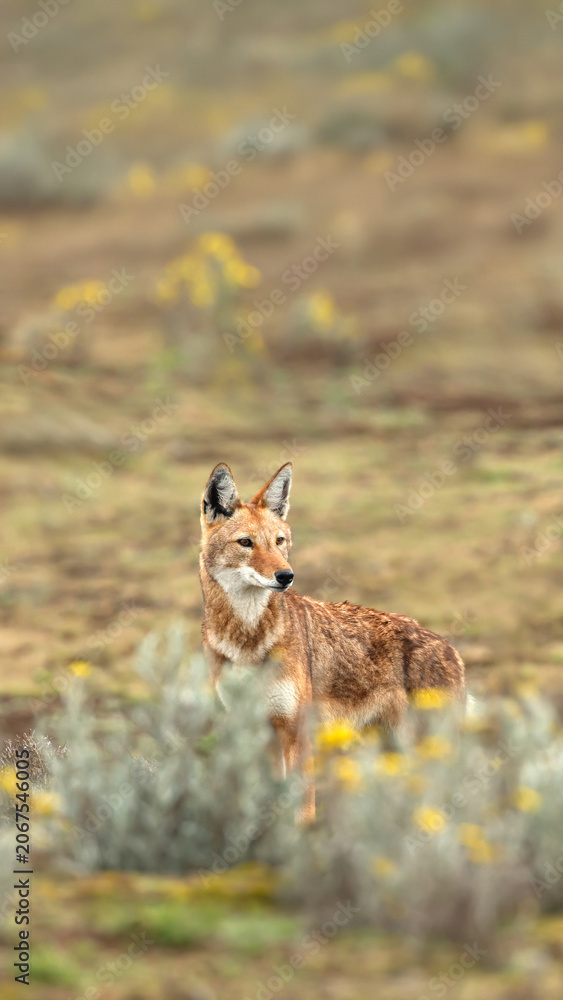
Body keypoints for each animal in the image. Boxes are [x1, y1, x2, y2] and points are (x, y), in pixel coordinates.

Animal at [199, 462, 465, 821]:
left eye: (279, 541)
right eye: (246, 542)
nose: (286, 576)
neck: (247, 642)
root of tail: (451, 647)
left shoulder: (297, 731)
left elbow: (303, 812)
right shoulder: (258, 732)